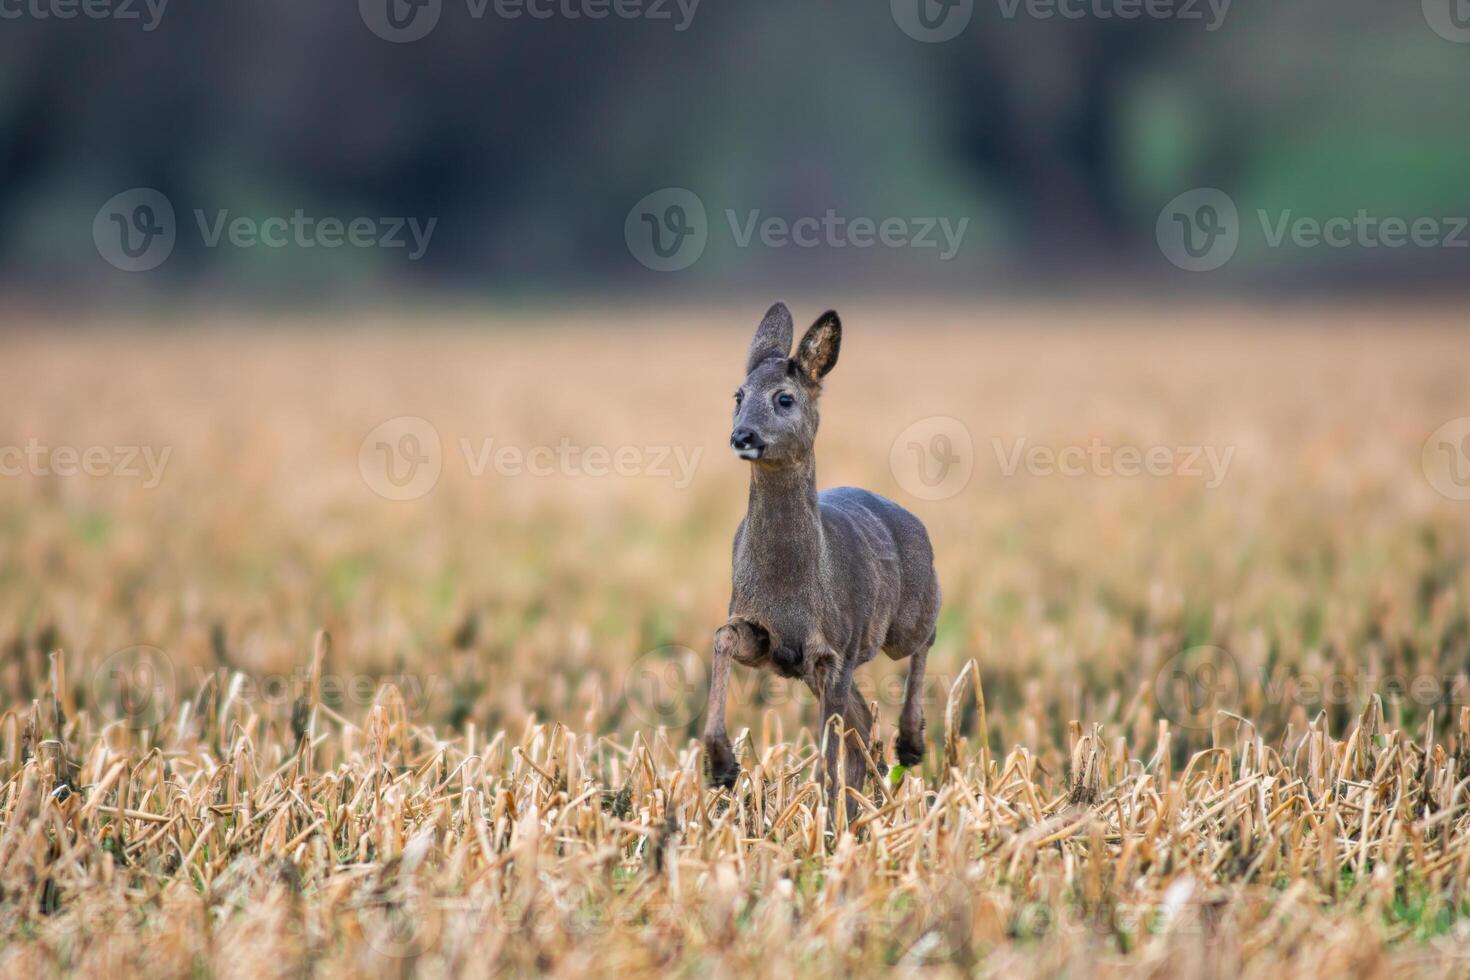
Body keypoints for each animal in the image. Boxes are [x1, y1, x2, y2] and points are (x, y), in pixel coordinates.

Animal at [702, 302, 940, 811]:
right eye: (738, 394)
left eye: (785, 399)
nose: (742, 435)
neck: (790, 582)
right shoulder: (765, 634)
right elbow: (722, 637)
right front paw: (722, 766)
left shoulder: (834, 648)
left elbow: (826, 756)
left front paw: (824, 816)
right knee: (862, 726)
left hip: (908, 612)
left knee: (924, 639)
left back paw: (910, 745)